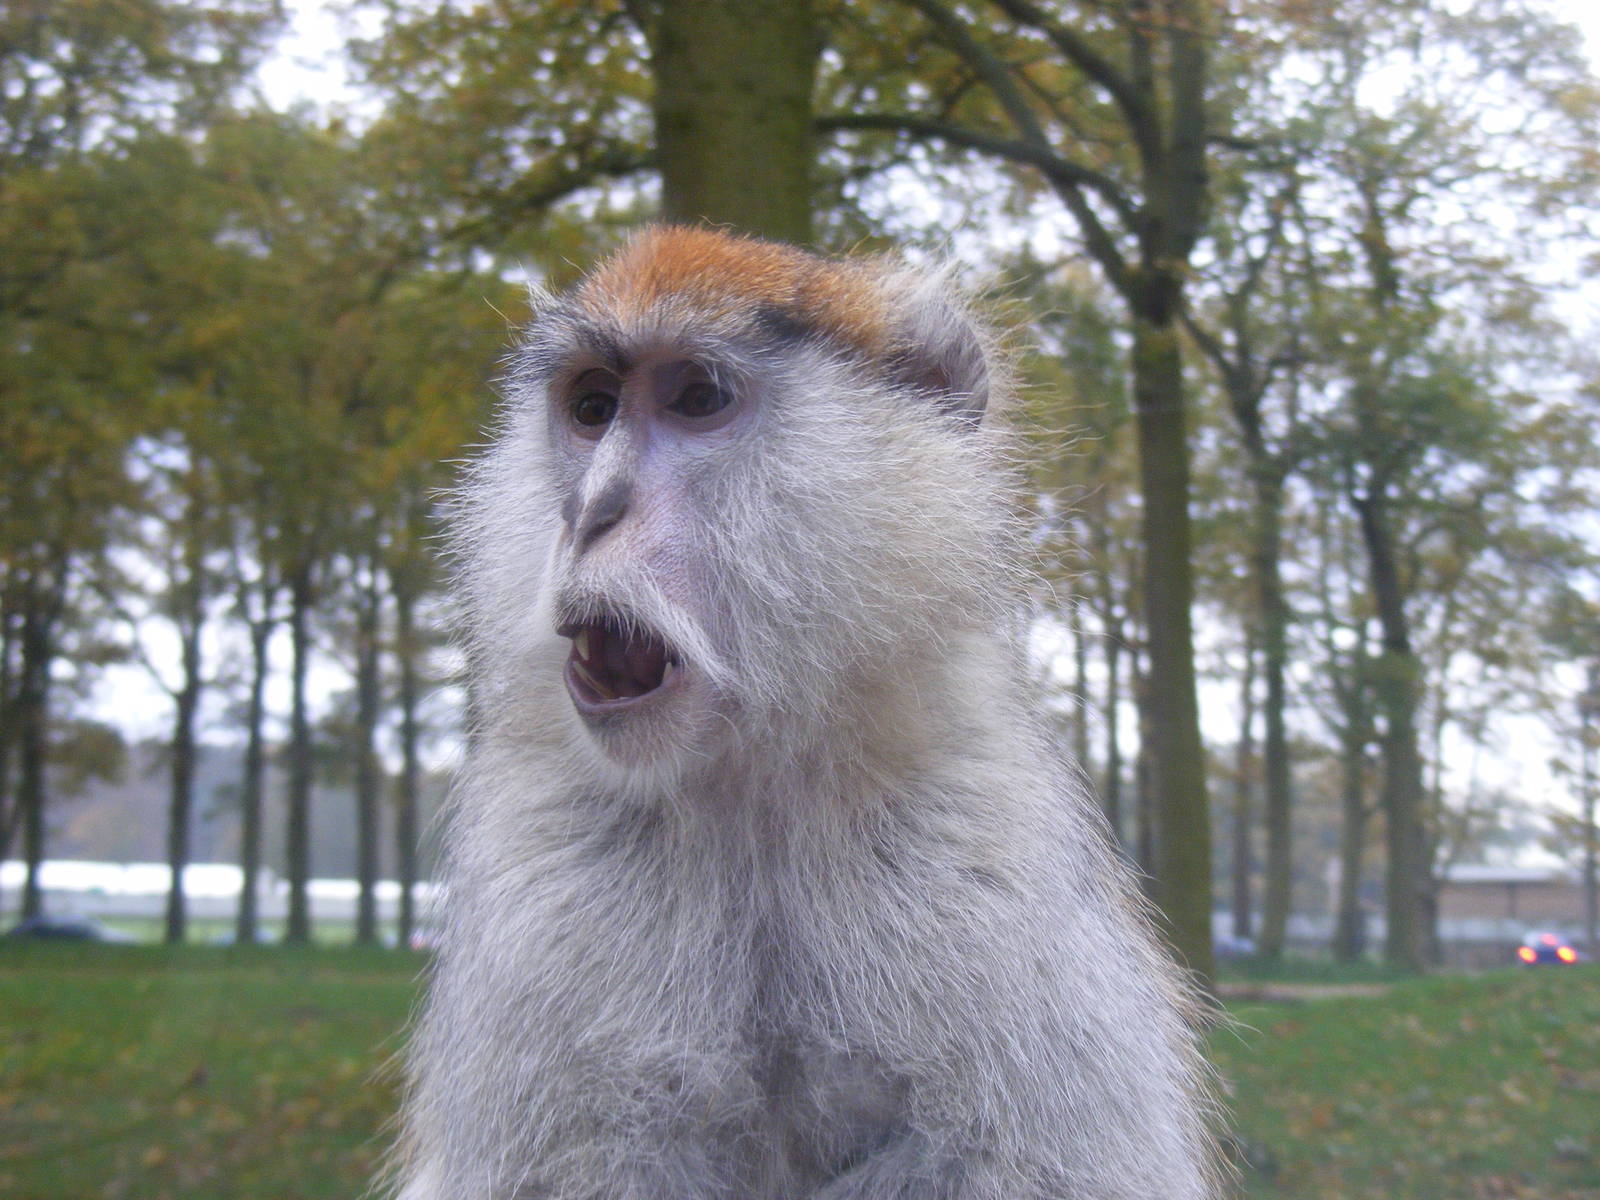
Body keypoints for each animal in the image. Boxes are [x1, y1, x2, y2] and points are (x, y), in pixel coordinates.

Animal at [389, 226, 1221, 1200]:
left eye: (697, 399)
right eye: (591, 408)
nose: (588, 510)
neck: (756, 780)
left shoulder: (977, 831)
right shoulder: (549, 857)